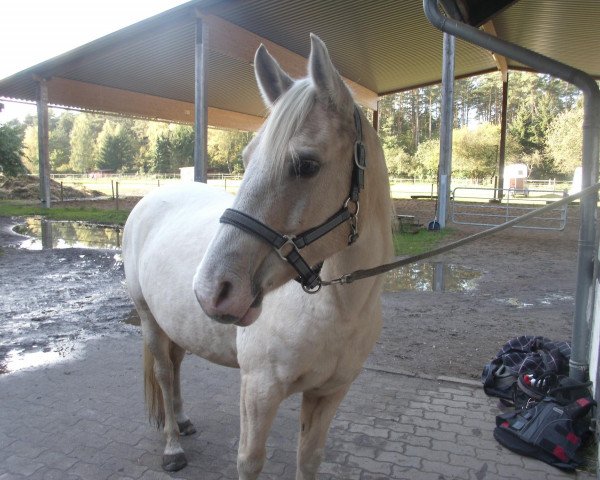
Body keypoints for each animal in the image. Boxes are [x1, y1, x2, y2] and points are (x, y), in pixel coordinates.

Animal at [122, 34, 394, 480]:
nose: (212, 290)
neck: (337, 308)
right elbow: (250, 461)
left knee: (177, 364)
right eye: (247, 159)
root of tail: (150, 200)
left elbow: (308, 459)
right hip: (148, 319)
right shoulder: (259, 391)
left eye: (307, 165)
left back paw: (182, 420)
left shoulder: (329, 393)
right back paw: (172, 446)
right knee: (164, 371)